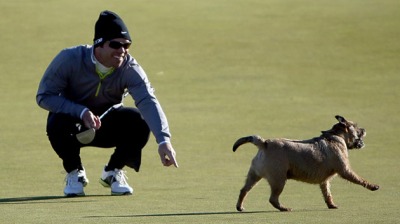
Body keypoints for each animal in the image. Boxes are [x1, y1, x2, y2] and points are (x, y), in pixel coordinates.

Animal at [233, 115, 380, 212]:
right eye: (356, 127)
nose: (364, 129)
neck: (336, 136)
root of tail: (264, 143)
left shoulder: (324, 181)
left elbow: (327, 193)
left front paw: (331, 205)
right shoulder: (345, 170)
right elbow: (360, 179)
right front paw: (372, 186)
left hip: (254, 176)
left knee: (244, 190)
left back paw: (240, 206)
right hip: (279, 179)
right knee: (273, 198)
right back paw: (284, 208)